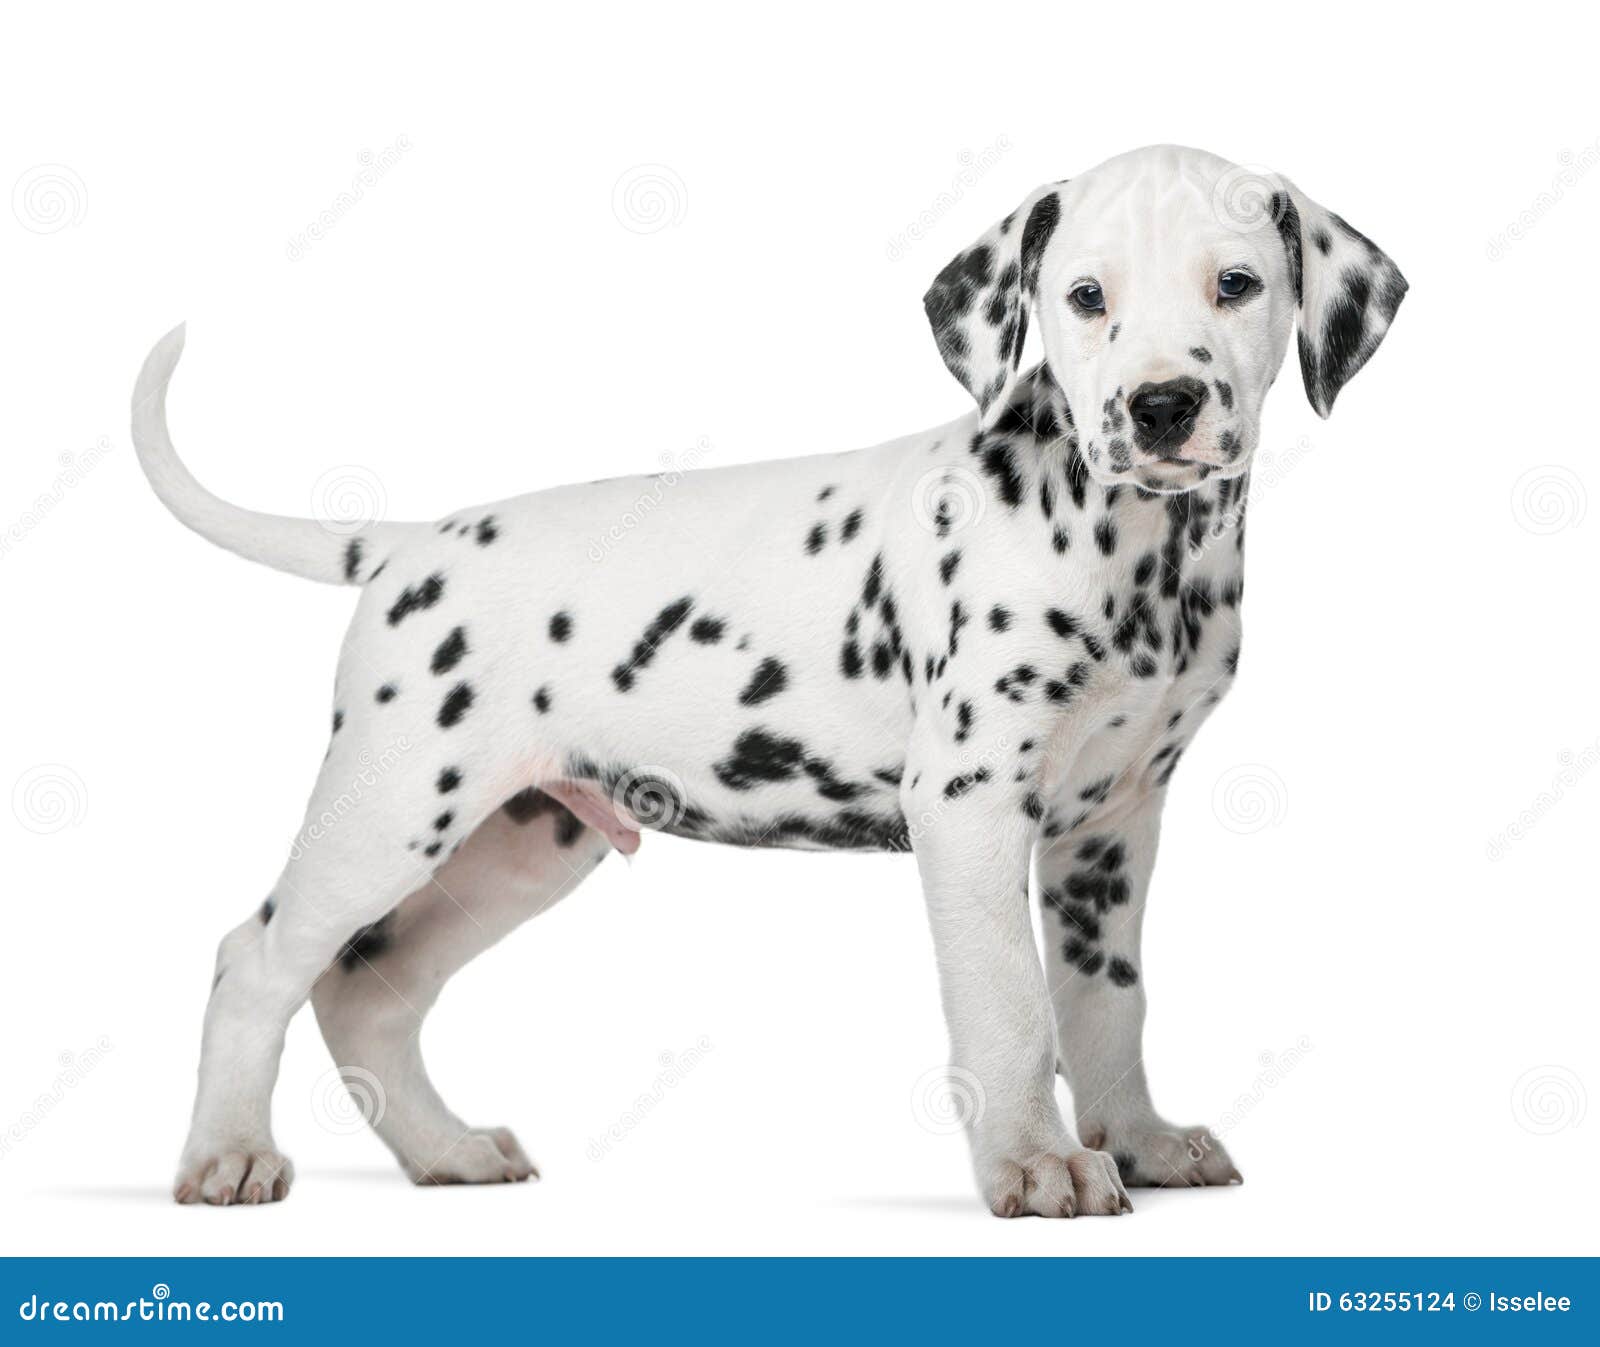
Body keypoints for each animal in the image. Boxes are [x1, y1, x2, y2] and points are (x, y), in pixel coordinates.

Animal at [132, 144, 1405, 1216]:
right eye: (1086, 299)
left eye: (1235, 284)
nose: (1161, 406)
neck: (1139, 552)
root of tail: (406, 542)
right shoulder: (972, 807)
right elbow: (1010, 1005)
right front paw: (1036, 1166)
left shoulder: (1112, 828)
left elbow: (1107, 1000)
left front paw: (1136, 1141)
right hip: (390, 810)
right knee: (256, 961)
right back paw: (228, 1156)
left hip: (522, 841)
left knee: (371, 986)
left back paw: (445, 1152)